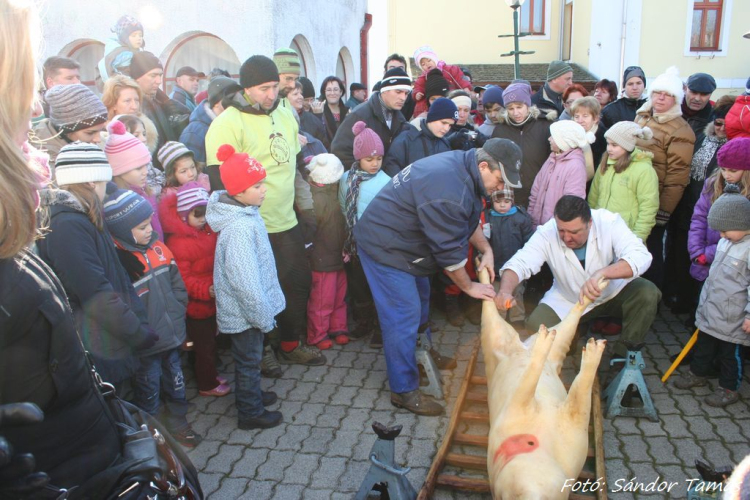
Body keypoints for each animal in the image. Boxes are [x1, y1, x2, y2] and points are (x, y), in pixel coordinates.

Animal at [482, 272, 612, 498]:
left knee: (567, 323)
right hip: (493, 343)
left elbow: (578, 399)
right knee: (490, 317)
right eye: (517, 495)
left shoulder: (572, 440)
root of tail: (523, 345)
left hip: (556, 344)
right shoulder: (515, 411)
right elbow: (575, 398)